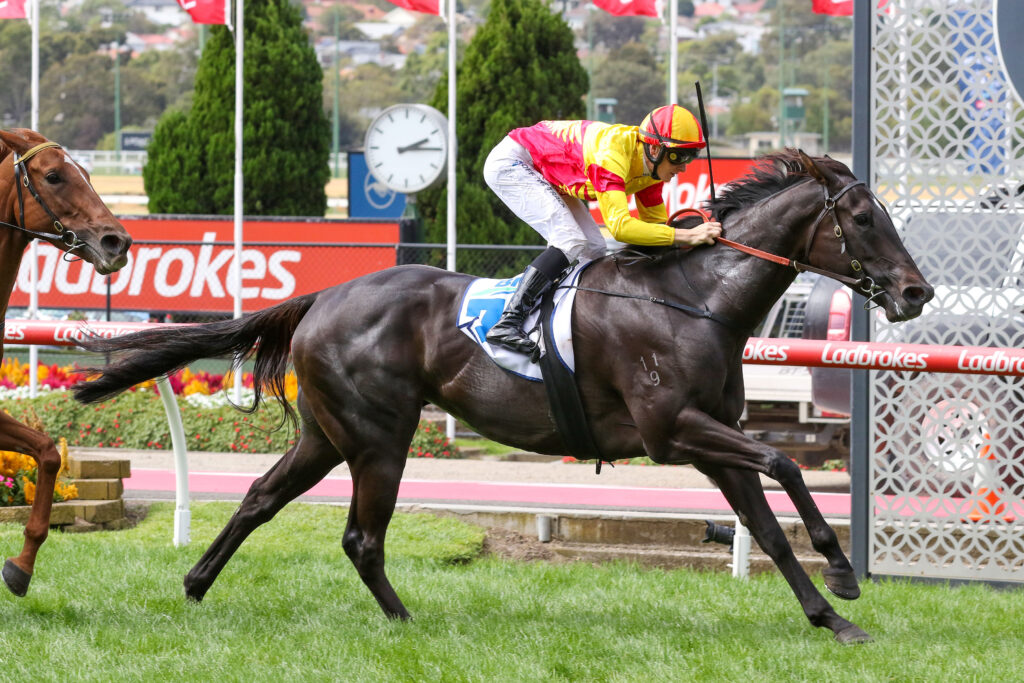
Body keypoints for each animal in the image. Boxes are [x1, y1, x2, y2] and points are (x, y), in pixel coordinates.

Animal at [73, 150, 932, 643]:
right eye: (862, 218)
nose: (916, 290)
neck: (695, 296)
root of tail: (322, 297)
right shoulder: (673, 429)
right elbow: (785, 468)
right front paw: (843, 571)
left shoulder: (711, 437)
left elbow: (767, 525)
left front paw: (832, 614)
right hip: (379, 438)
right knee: (361, 537)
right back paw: (405, 620)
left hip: (324, 434)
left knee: (257, 498)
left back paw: (195, 583)